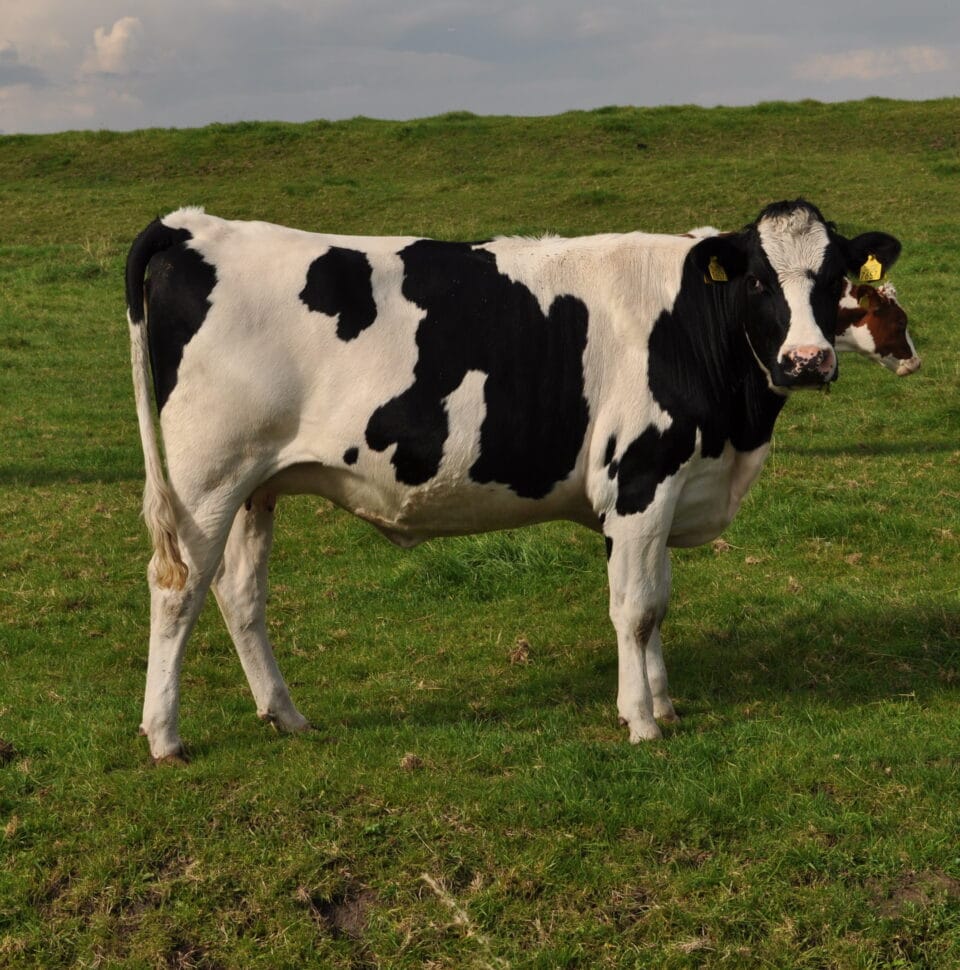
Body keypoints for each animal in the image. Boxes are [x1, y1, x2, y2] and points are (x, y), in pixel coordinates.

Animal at [125, 199, 901, 760]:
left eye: (835, 280)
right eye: (759, 279)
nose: (807, 360)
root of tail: (193, 225)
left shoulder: (655, 494)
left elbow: (654, 605)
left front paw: (663, 703)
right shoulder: (640, 478)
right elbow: (635, 610)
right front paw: (641, 722)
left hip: (253, 485)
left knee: (239, 594)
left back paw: (286, 715)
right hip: (205, 479)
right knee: (178, 588)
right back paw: (165, 737)